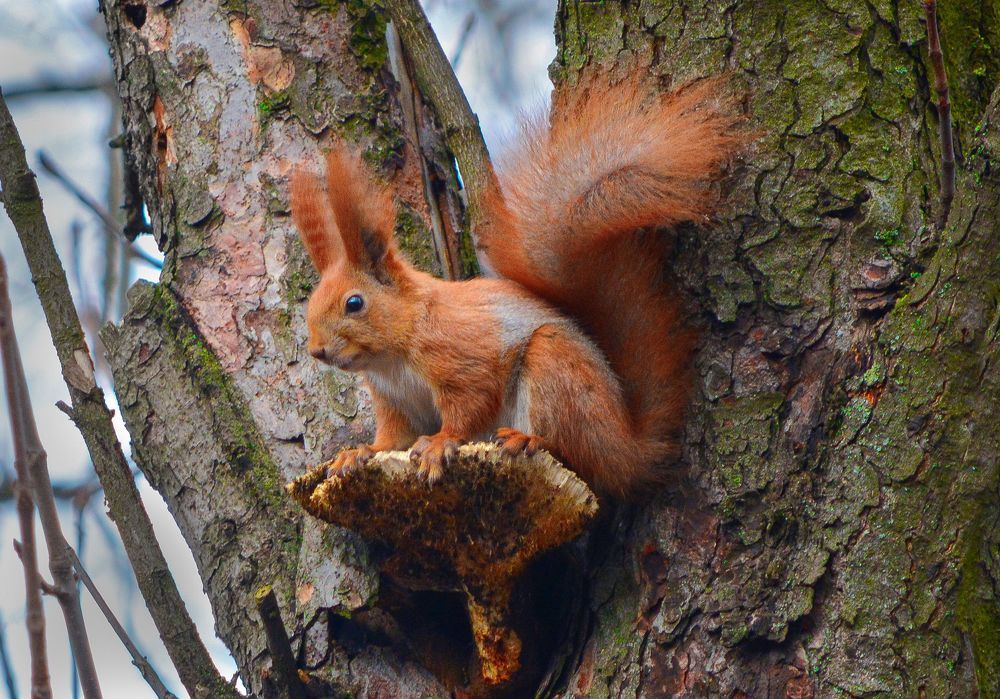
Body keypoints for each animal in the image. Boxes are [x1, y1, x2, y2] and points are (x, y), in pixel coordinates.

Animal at [290, 76, 744, 498]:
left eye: (354, 303)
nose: (317, 350)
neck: (393, 355)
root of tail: (629, 448)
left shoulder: (462, 357)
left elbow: (470, 405)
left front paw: (440, 442)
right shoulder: (395, 402)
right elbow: (393, 438)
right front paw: (360, 452)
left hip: (555, 369)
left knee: (576, 453)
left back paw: (528, 438)